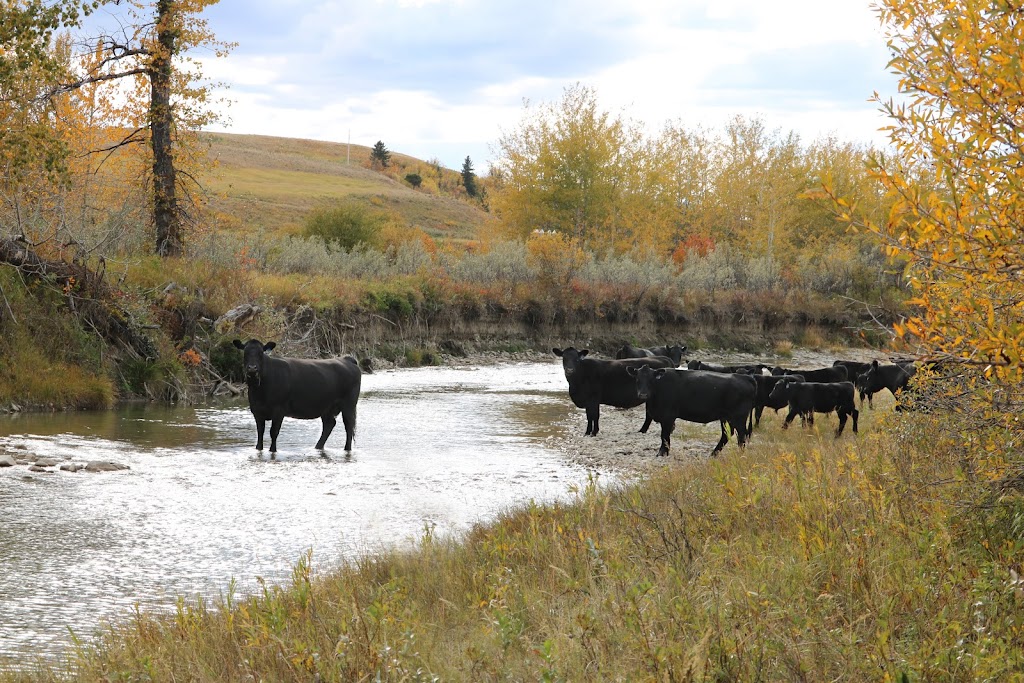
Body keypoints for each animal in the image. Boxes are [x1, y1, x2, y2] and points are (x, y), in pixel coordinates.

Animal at [234, 337, 362, 454]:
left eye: (261, 353)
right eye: (245, 352)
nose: (252, 368)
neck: (260, 392)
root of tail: (347, 359)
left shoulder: (279, 410)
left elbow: (273, 432)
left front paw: (273, 450)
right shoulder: (257, 411)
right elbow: (260, 433)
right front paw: (258, 449)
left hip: (349, 405)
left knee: (349, 426)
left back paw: (347, 449)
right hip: (327, 407)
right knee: (329, 424)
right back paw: (317, 447)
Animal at [618, 366, 757, 456]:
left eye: (652, 380)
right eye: (637, 379)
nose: (643, 394)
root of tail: (745, 377)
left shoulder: (668, 416)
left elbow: (664, 435)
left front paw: (662, 452)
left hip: (739, 416)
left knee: (741, 435)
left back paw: (739, 453)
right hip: (726, 417)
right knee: (727, 434)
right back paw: (714, 453)